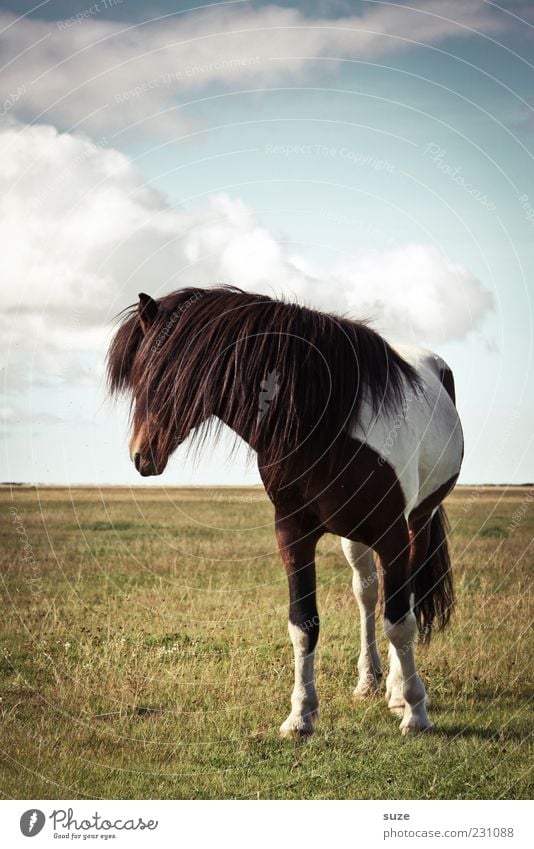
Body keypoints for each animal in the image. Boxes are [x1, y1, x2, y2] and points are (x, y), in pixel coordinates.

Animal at [108, 284, 464, 736]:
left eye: (169, 375)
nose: (141, 455)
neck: (328, 425)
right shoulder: (293, 531)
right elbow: (304, 623)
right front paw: (300, 715)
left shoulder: (392, 532)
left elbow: (401, 622)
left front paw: (416, 711)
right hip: (355, 537)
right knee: (367, 594)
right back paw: (370, 681)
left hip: (416, 523)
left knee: (406, 599)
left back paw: (400, 692)